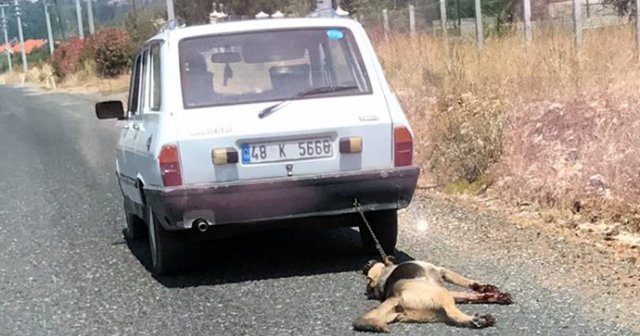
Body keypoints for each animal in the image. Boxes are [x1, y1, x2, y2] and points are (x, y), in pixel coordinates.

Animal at [352, 258, 512, 330]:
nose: (366, 263)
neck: (383, 277)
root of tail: (396, 296)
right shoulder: (443, 272)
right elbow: (467, 283)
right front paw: (485, 289)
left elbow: (469, 294)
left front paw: (492, 295)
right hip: (442, 294)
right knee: (454, 314)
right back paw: (479, 319)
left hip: (437, 307)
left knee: (453, 317)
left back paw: (480, 319)